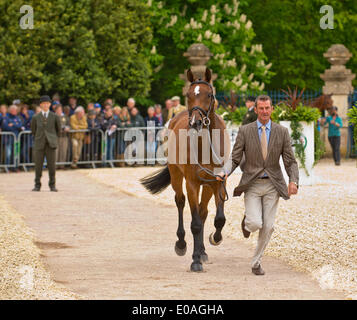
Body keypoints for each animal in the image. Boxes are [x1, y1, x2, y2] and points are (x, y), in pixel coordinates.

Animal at [140, 68, 229, 272]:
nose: (196, 122)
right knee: (180, 202)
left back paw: (203, 251)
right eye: (188, 95)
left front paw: (214, 239)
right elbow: (195, 223)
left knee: (203, 212)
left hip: (207, 186)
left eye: (209, 94)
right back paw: (181, 244)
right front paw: (195, 260)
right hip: (176, 176)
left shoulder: (219, 181)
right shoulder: (192, 184)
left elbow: (218, 218)